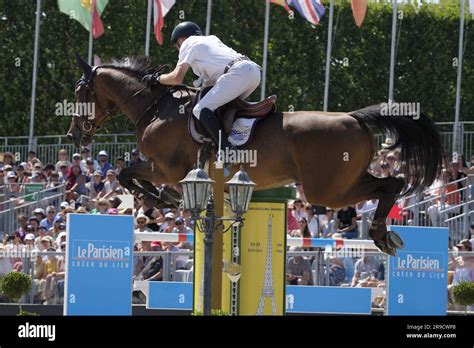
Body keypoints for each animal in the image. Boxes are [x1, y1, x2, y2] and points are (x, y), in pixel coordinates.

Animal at [66, 55, 444, 256]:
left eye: (81, 91)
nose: (73, 135)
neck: (156, 107)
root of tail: (354, 117)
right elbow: (129, 175)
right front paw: (165, 198)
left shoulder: (167, 168)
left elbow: (125, 174)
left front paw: (161, 199)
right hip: (346, 179)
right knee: (390, 183)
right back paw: (384, 235)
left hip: (328, 190)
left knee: (389, 184)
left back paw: (380, 233)